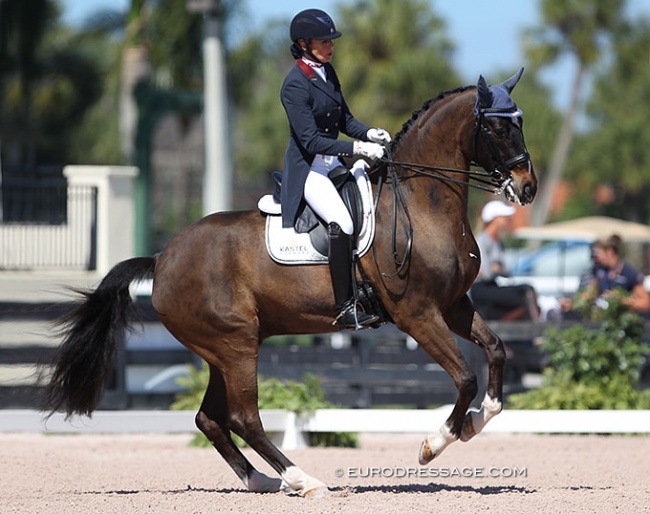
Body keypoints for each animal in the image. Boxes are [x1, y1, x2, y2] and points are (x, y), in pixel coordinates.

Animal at [43, 69, 536, 496]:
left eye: (521, 123)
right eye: (496, 129)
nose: (527, 187)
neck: (420, 201)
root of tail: (163, 257)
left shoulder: (453, 304)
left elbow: (496, 350)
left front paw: (477, 421)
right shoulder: (416, 313)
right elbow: (465, 377)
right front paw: (435, 443)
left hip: (224, 349)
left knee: (210, 419)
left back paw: (261, 480)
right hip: (236, 344)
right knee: (244, 417)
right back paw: (302, 479)